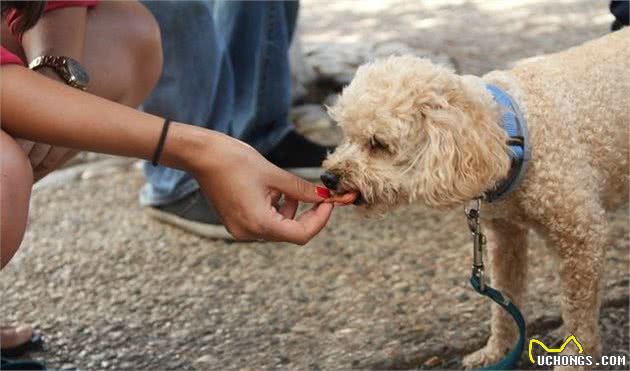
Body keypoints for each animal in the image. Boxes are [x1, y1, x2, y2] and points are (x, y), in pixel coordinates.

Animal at [324, 29, 628, 370]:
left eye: (377, 143)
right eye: (347, 135)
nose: (328, 178)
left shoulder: (581, 238)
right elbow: (504, 301)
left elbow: (578, 310)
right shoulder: (506, 236)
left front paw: (575, 357)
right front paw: (497, 351)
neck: (514, 134)